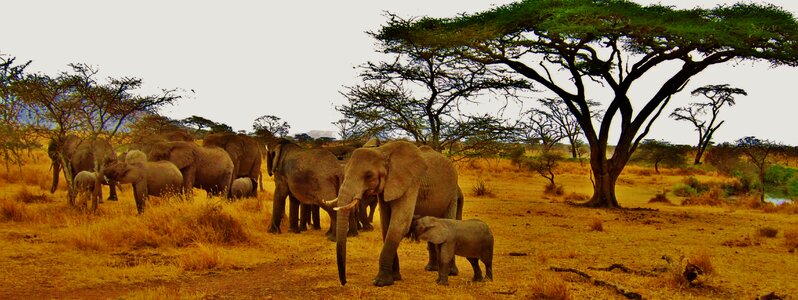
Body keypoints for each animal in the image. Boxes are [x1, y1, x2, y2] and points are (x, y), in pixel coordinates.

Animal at [332, 142, 466, 288]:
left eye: (368, 176)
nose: (344, 282)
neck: (382, 151)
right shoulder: (385, 189)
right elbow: (386, 225)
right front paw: (395, 278)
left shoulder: (410, 184)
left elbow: (399, 225)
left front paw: (381, 282)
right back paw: (431, 269)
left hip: (453, 192)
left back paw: (451, 273)